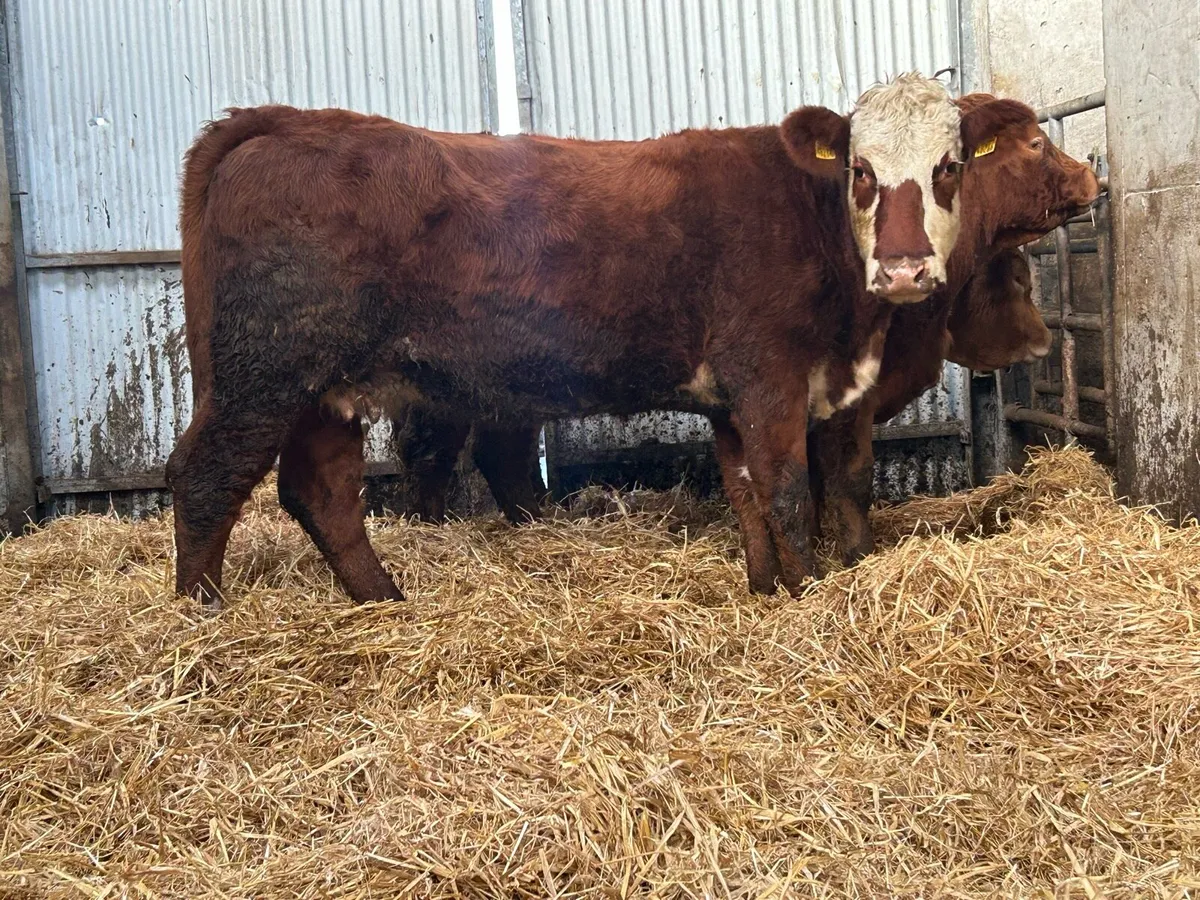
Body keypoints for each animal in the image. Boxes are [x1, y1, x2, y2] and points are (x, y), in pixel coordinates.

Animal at [167, 73, 1012, 610]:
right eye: (862, 171)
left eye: (949, 167)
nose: (904, 269)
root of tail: (287, 118)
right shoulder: (768, 376)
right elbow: (788, 489)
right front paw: (808, 593)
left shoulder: (764, 395)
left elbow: (789, 489)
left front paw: (773, 586)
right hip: (262, 375)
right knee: (205, 476)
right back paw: (202, 620)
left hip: (325, 388)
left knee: (322, 491)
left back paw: (383, 602)